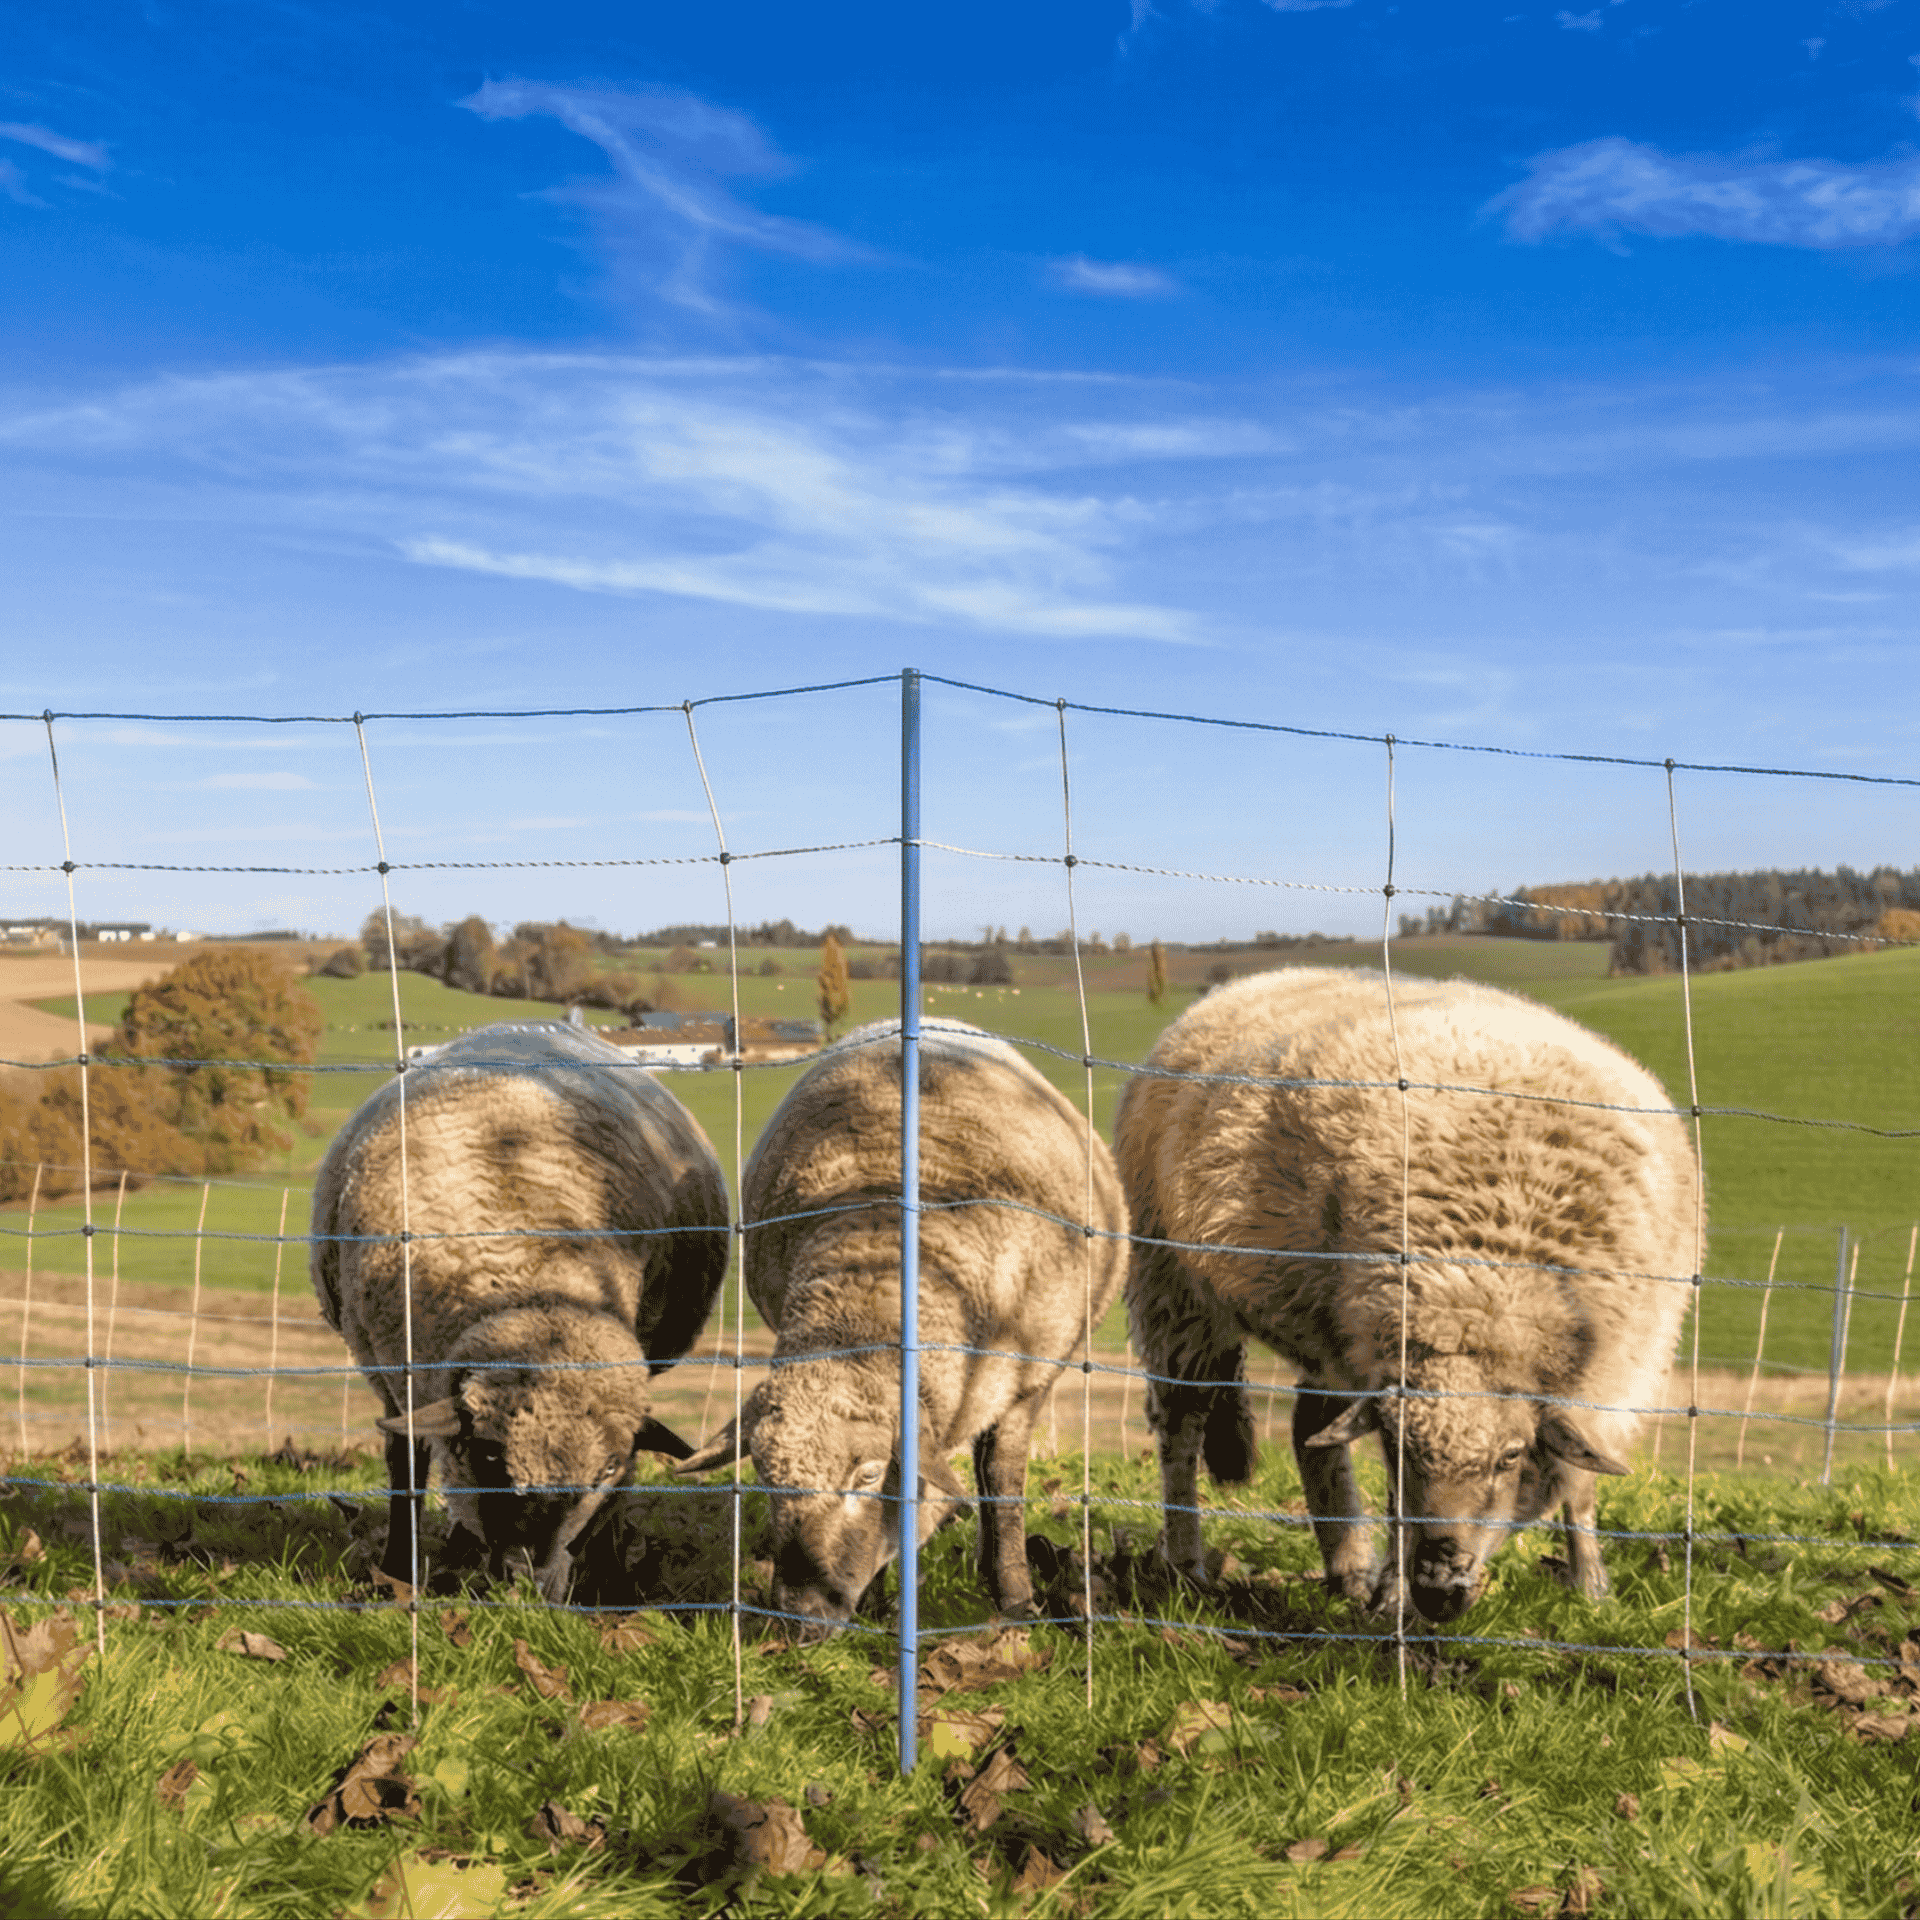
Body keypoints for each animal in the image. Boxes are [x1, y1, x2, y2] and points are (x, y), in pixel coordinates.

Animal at [311, 1022, 729, 1600]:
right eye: (489, 1454)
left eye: (604, 1469)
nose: (529, 1582)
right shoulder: (391, 1366)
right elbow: (407, 1462)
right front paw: (398, 1570)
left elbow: (621, 1490)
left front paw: (610, 1583)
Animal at [676, 1017, 1126, 1631]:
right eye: (766, 1477)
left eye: (867, 1476)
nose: (801, 1615)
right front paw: (885, 1601)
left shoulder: (1029, 1378)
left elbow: (1001, 1482)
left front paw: (1016, 1601)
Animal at [1117, 968, 1701, 1623]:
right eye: (1401, 1452)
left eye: (1510, 1457)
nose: (1439, 1591)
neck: (1483, 1297)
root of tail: (1251, 981)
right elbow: (1402, 1508)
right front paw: (1396, 1599)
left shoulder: (1610, 1377)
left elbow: (1579, 1487)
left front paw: (1591, 1588)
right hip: (1172, 1282)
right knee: (1181, 1422)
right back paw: (1186, 1564)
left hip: (1331, 1325)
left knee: (1309, 1425)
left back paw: (1348, 1569)